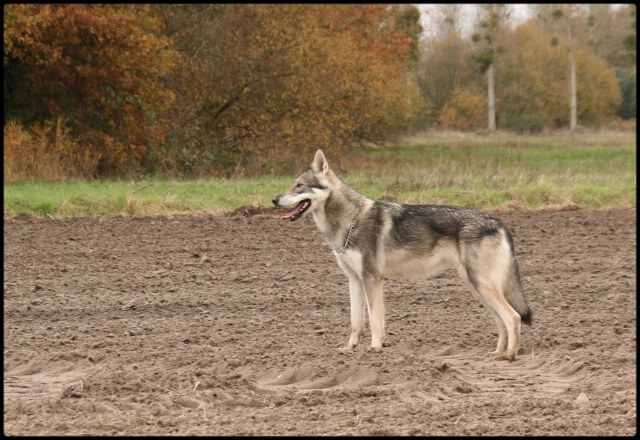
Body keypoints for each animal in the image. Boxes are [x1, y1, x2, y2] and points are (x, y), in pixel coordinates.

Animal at [272, 150, 532, 360]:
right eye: (293, 185)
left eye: (299, 186)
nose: (274, 199)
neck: (349, 222)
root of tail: (498, 222)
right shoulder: (354, 280)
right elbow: (356, 323)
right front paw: (350, 349)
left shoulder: (373, 280)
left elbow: (375, 320)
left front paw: (375, 350)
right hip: (477, 288)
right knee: (502, 321)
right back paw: (497, 353)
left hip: (482, 286)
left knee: (513, 318)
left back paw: (509, 356)